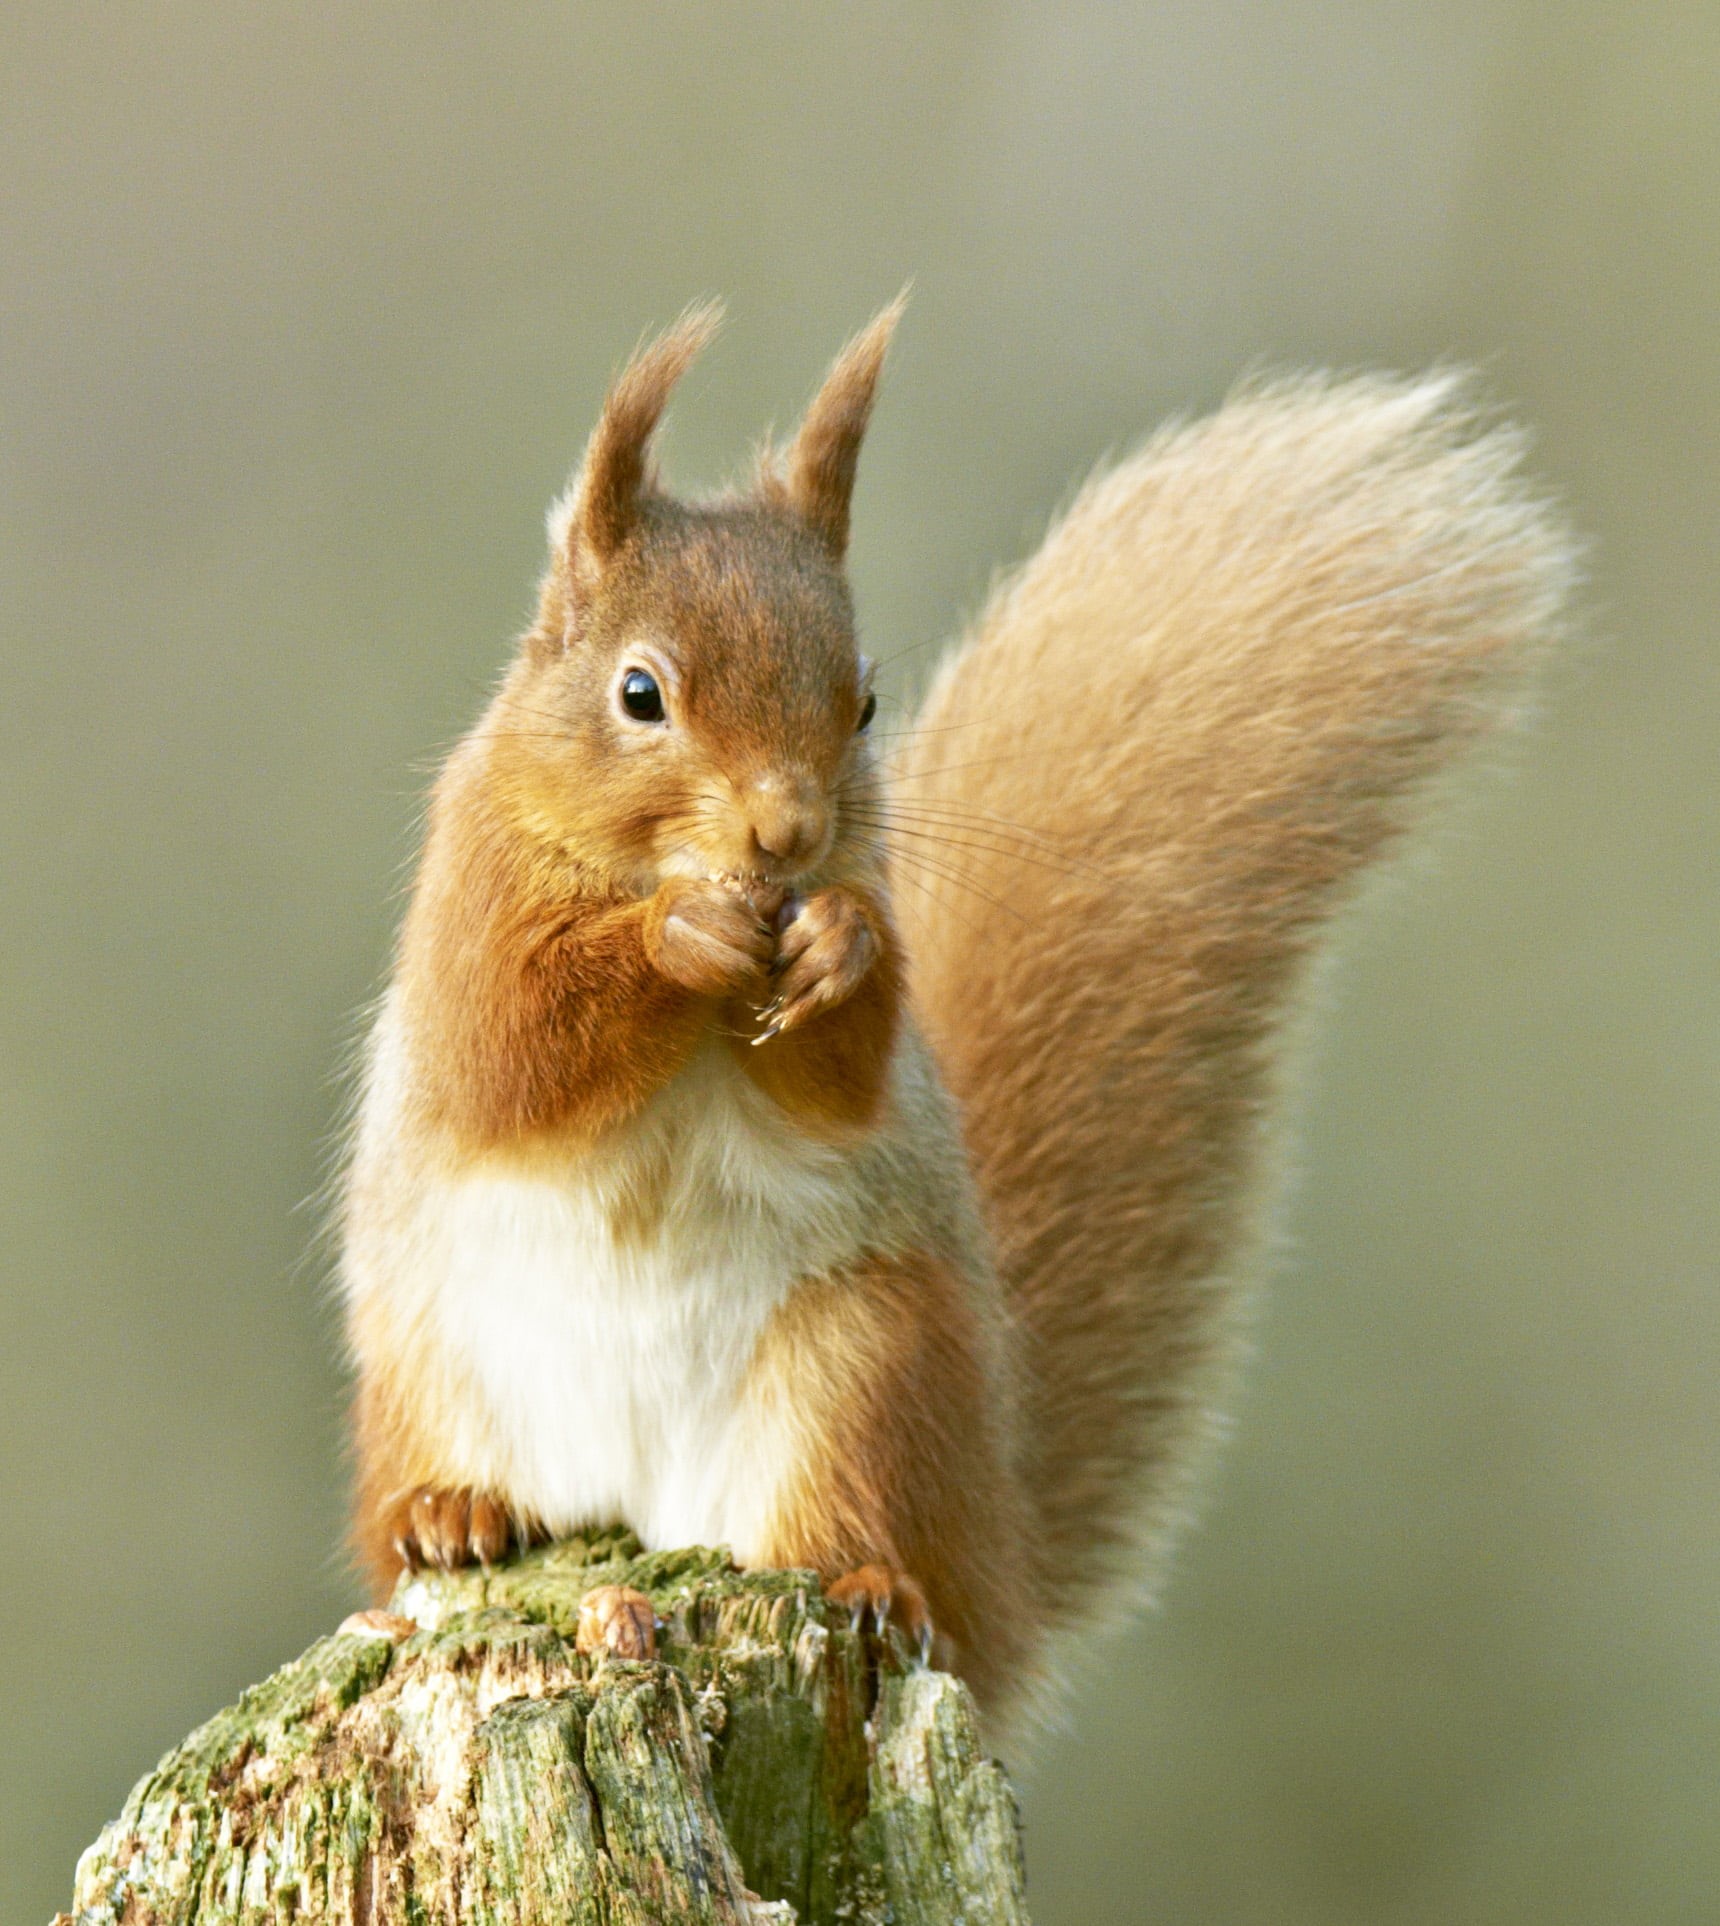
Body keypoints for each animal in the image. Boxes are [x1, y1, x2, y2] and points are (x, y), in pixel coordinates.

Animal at [338, 298, 1574, 1741]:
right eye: (638, 694)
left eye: (864, 697)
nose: (788, 832)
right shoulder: (469, 903)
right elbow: (513, 1052)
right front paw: (677, 936)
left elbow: (844, 1079)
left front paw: (837, 948)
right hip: (434, 1359)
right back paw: (453, 1512)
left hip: (864, 1368)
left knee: (847, 1534)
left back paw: (872, 1583)